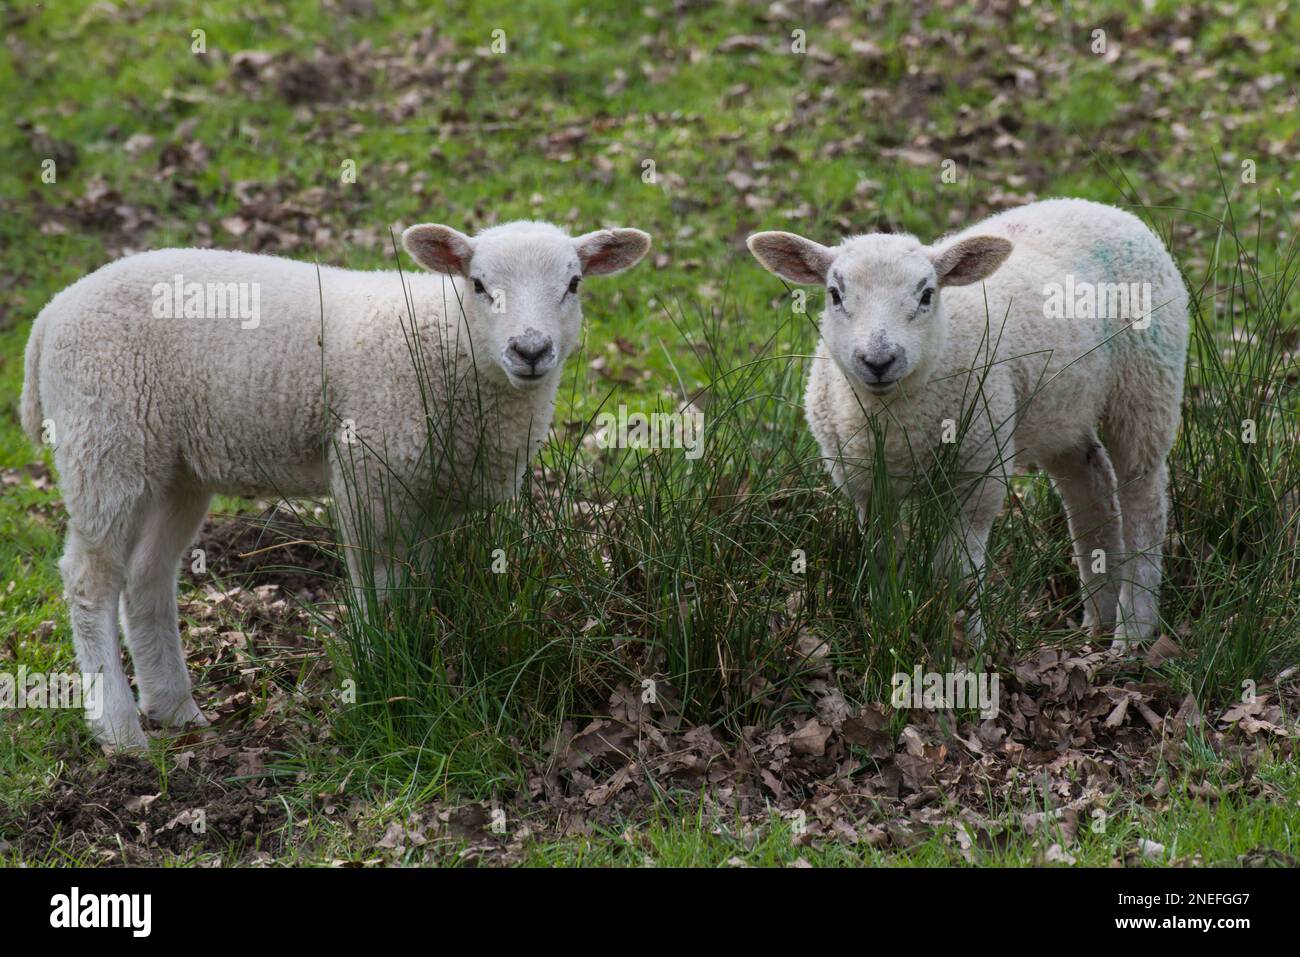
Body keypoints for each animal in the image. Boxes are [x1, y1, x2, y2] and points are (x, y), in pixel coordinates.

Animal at [21, 220, 652, 750]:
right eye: (477, 284)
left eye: (573, 283)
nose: (531, 350)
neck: (448, 345)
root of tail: (50, 314)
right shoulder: (367, 469)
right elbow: (378, 588)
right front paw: (379, 675)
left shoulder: (434, 495)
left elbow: (417, 586)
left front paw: (417, 661)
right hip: (105, 440)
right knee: (90, 580)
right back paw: (119, 729)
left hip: (174, 466)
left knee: (147, 575)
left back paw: (174, 707)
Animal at [748, 198, 1188, 648]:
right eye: (835, 294)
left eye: (927, 294)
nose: (878, 360)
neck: (897, 419)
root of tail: (1103, 207)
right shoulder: (867, 485)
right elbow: (884, 558)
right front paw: (888, 630)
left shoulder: (978, 470)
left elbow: (957, 569)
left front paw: (966, 645)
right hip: (1060, 408)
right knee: (1089, 485)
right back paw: (1097, 618)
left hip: (1146, 384)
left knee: (1143, 501)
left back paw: (1132, 631)